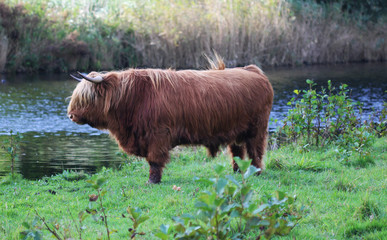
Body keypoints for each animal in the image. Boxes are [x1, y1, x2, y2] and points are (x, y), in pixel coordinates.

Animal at [67, 59, 272, 183]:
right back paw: (237, 172)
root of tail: (253, 70)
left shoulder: (158, 135)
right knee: (237, 151)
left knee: (255, 151)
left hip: (257, 128)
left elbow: (154, 160)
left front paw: (152, 181)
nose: (70, 115)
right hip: (235, 130)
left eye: (86, 97)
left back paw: (256, 172)